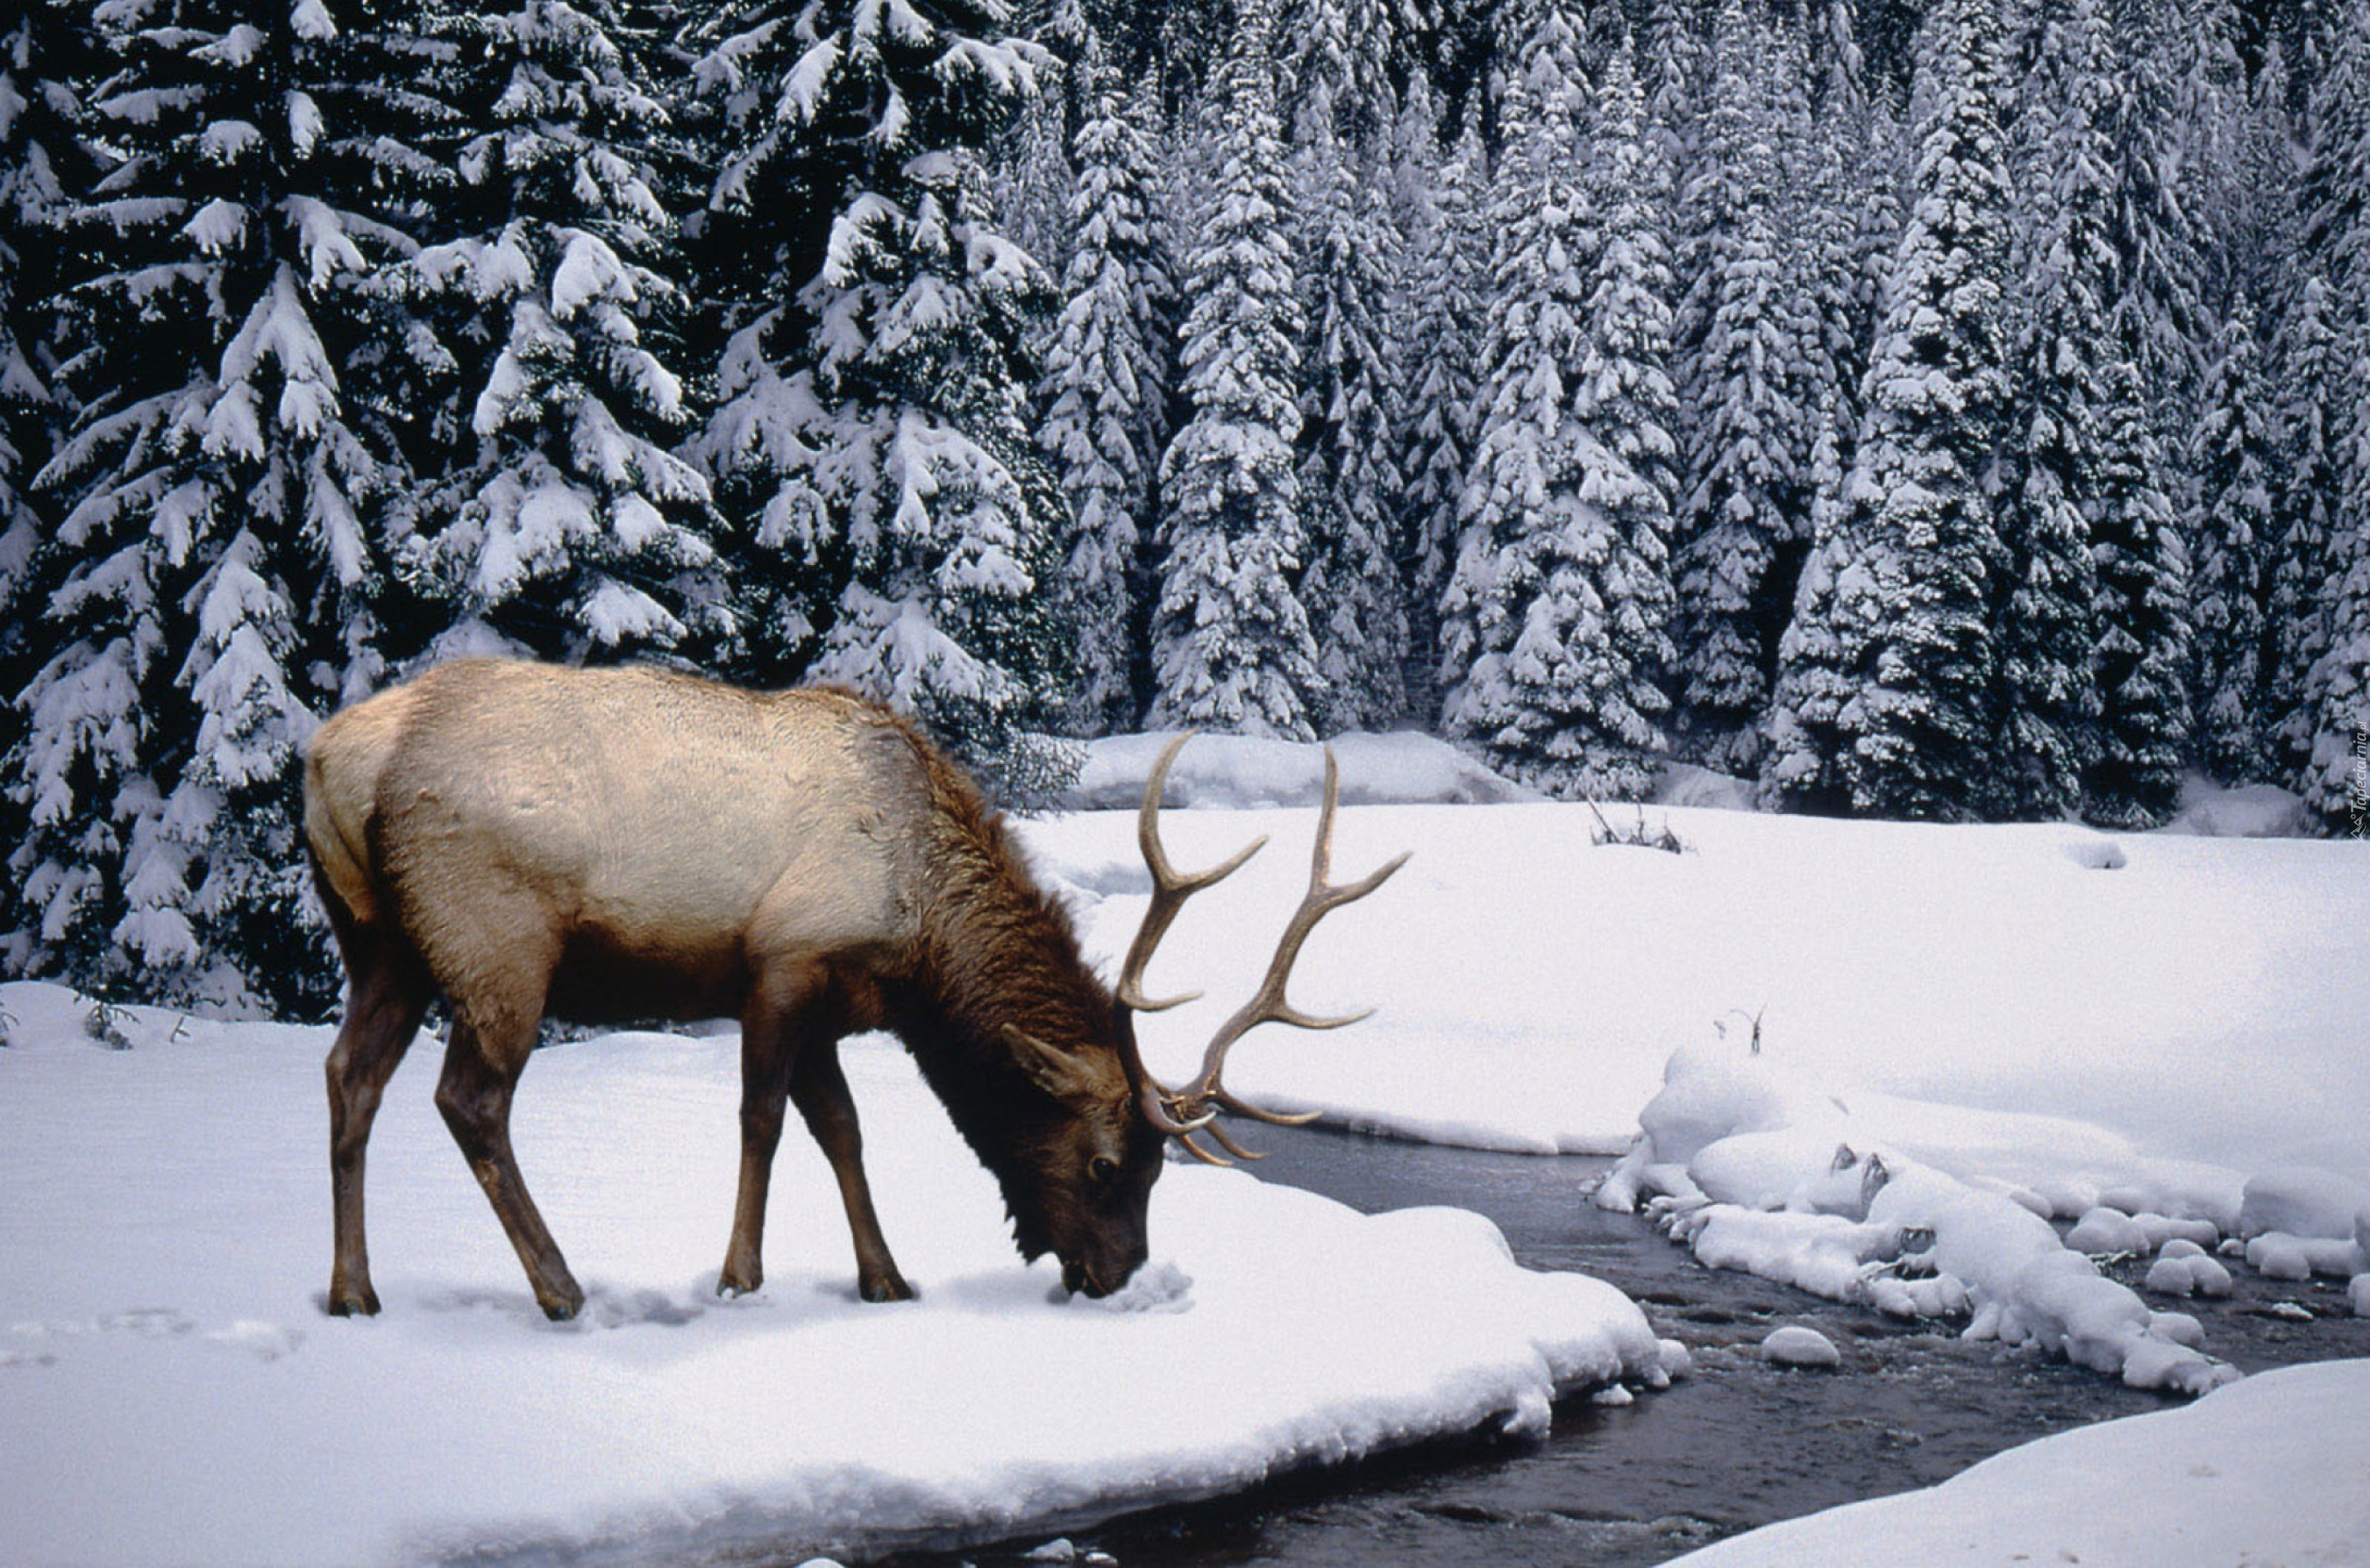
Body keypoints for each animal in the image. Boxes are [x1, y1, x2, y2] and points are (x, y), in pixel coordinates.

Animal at [303, 658, 1393, 1317]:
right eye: (1103, 1164)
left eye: (1165, 1170)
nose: (1116, 1274)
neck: (921, 940)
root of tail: (329, 761)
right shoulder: (782, 960)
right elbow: (764, 1118)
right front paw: (739, 1276)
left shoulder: (832, 1006)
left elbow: (842, 1129)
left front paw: (887, 1276)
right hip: (497, 941)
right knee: (468, 1100)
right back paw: (560, 1285)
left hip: (381, 945)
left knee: (349, 1076)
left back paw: (354, 1288)